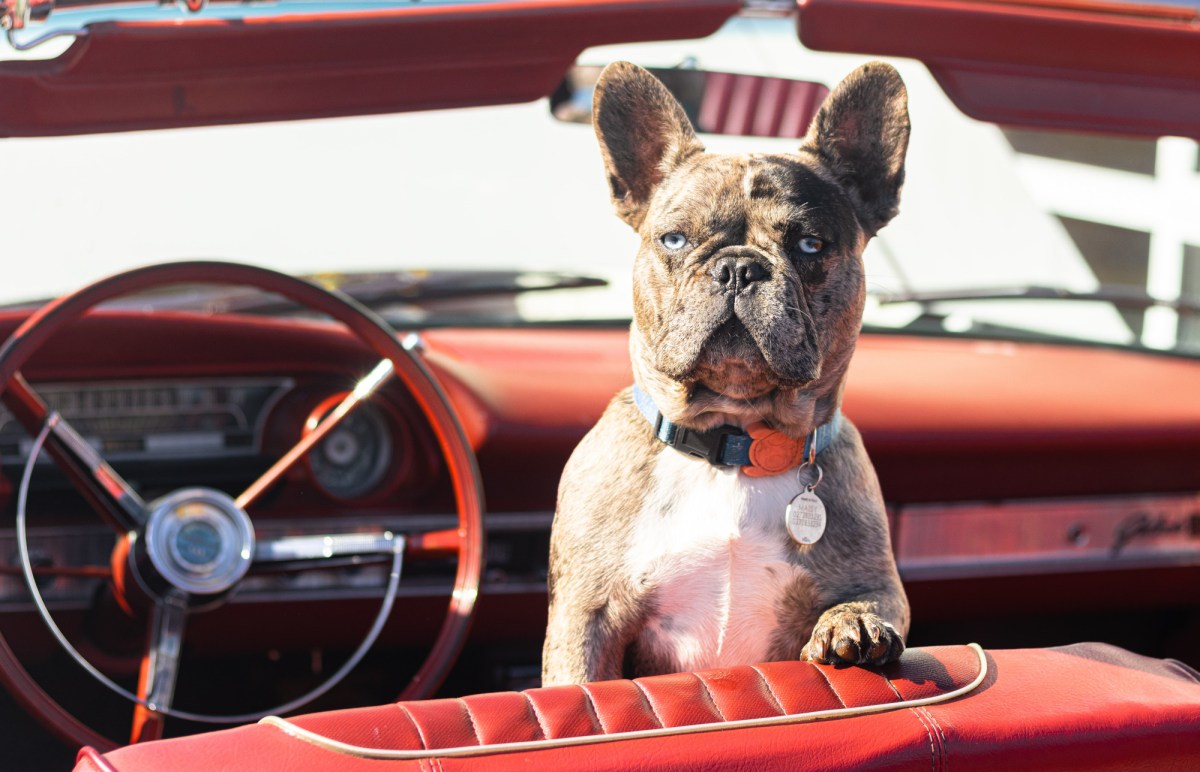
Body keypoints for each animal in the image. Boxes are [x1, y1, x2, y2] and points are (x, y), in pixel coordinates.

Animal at [542, 63, 907, 686]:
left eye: (810, 244)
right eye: (674, 239)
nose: (738, 267)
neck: (734, 443)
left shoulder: (877, 582)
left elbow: (868, 602)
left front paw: (852, 624)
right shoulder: (585, 618)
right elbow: (578, 683)